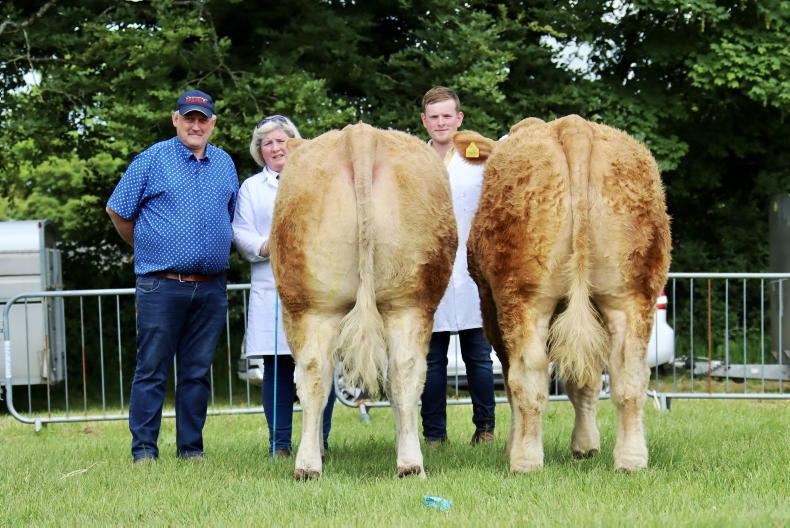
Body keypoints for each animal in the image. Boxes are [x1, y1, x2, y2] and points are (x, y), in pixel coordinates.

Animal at [270, 122, 457, 479]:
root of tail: (360, 133)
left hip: (310, 304)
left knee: (313, 373)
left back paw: (308, 465)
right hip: (408, 298)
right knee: (404, 370)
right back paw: (409, 463)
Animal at [452, 114, 671, 473]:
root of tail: (575, 127)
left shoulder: (491, 306)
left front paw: (514, 446)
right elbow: (586, 382)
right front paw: (585, 444)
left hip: (524, 299)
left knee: (527, 376)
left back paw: (525, 460)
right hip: (630, 295)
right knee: (629, 374)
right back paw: (631, 459)